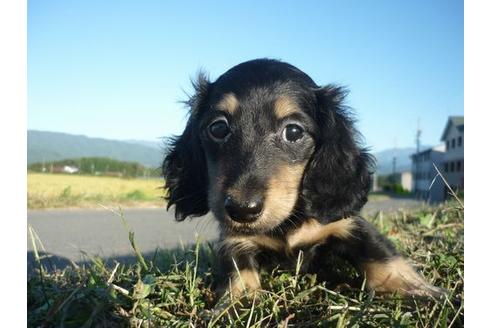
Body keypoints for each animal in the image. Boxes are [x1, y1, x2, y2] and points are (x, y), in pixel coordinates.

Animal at [163, 59, 444, 300]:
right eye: (218, 128)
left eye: (294, 131)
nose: (242, 210)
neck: (287, 224)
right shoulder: (234, 242)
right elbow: (240, 282)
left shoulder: (347, 223)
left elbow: (380, 254)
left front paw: (419, 290)